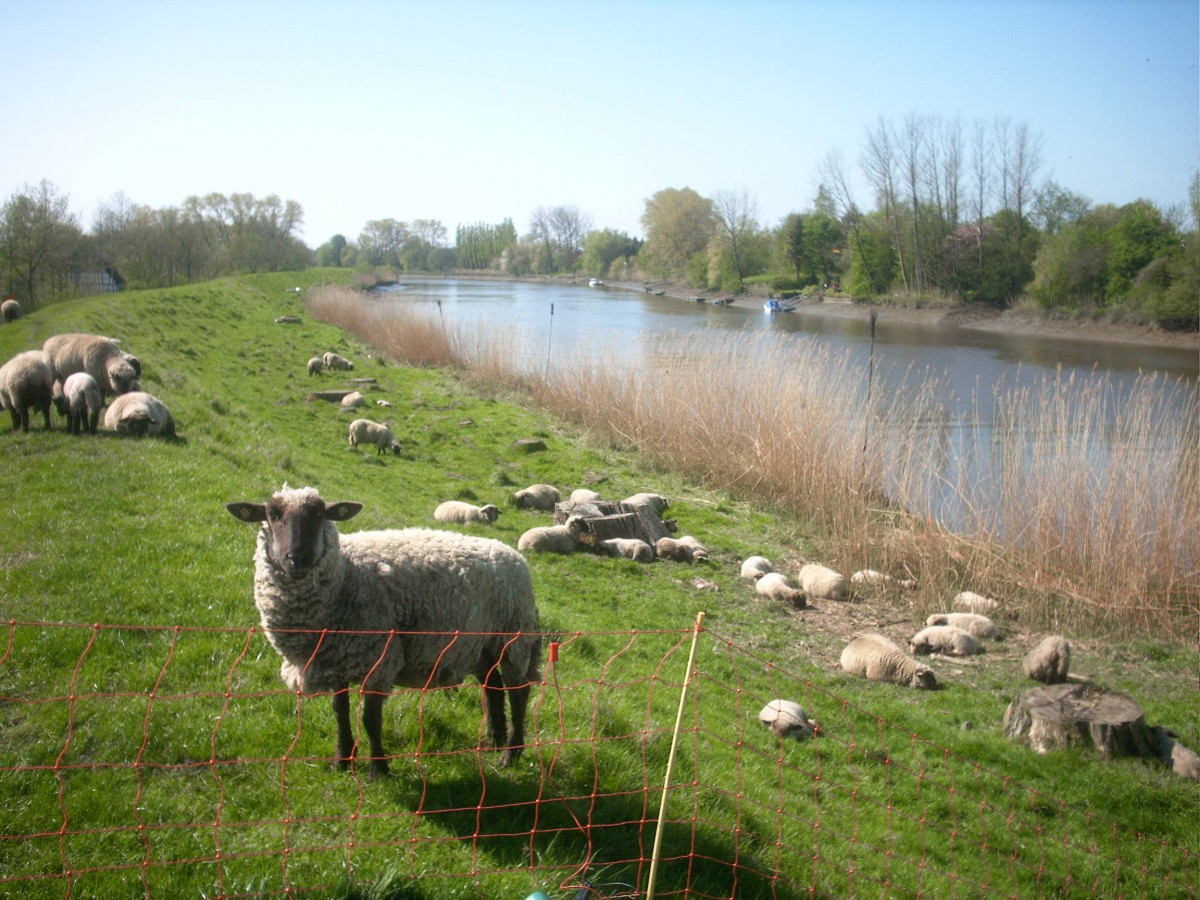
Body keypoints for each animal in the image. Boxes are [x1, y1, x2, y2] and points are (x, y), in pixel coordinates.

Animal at [225, 487, 544, 782]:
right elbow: (340, 711)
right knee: (492, 686)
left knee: (518, 691)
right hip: (479, 645)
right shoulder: (336, 659)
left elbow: (370, 718)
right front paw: (341, 760)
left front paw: (378, 770)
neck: (346, 576)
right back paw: (493, 741)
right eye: (272, 515)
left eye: (319, 514)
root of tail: (516, 557)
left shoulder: (379, 656)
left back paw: (511, 753)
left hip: (514, 636)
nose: (297, 558)